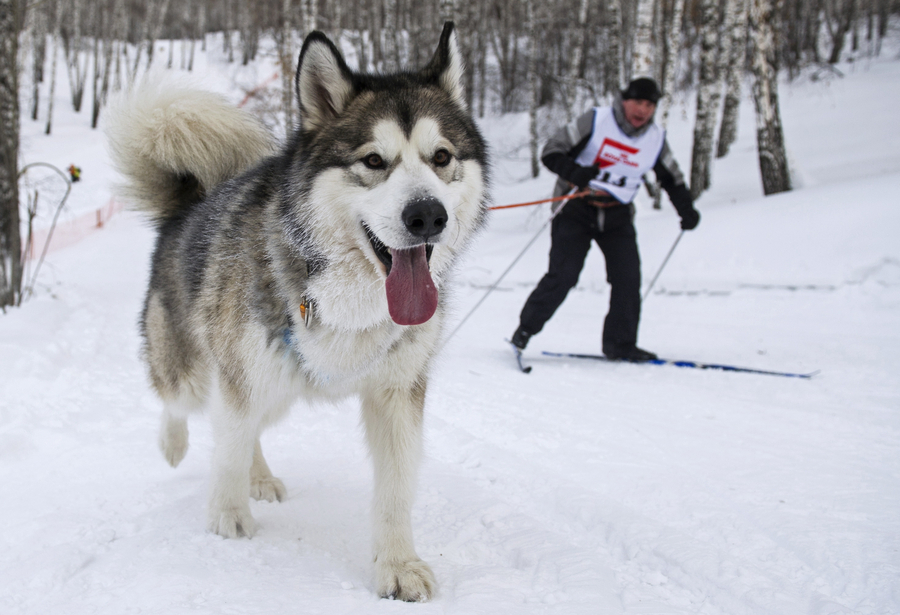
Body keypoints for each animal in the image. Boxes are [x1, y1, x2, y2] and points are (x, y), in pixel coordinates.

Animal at [105, 24, 492, 600]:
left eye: (441, 157)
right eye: (373, 161)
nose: (427, 215)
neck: (349, 299)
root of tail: (186, 206)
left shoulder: (398, 392)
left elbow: (396, 488)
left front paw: (397, 563)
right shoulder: (240, 375)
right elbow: (227, 449)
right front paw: (226, 516)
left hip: (274, 388)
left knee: (249, 428)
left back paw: (260, 476)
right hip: (206, 371)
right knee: (185, 405)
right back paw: (176, 445)